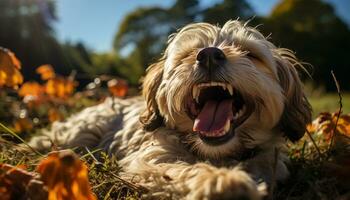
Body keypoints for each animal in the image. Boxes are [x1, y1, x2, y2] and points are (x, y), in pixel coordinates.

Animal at [27, 21, 312, 199]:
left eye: (250, 54)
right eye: (189, 54)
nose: (209, 54)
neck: (215, 153)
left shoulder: (268, 165)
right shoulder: (152, 160)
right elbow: (180, 170)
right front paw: (221, 181)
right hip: (83, 132)